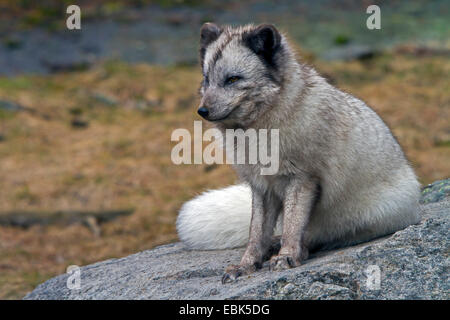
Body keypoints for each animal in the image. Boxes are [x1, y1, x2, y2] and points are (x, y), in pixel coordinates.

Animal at [177, 23, 422, 282]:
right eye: (206, 79)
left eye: (233, 79)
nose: (202, 111)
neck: (257, 133)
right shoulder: (262, 186)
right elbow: (256, 233)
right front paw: (246, 264)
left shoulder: (302, 179)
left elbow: (293, 226)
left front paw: (286, 256)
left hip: (368, 216)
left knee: (320, 235)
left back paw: (297, 248)